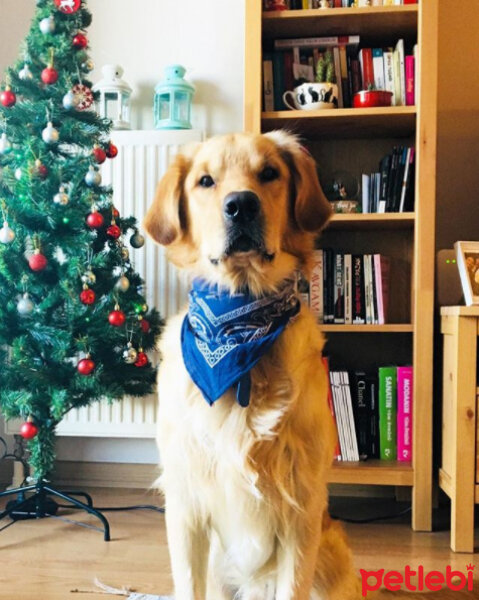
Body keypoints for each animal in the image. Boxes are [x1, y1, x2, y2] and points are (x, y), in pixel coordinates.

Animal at [144, 132, 478, 600]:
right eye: (205, 181)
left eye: (269, 172)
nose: (241, 205)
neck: (240, 328)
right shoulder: (187, 505)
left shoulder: (300, 511)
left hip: (328, 554)